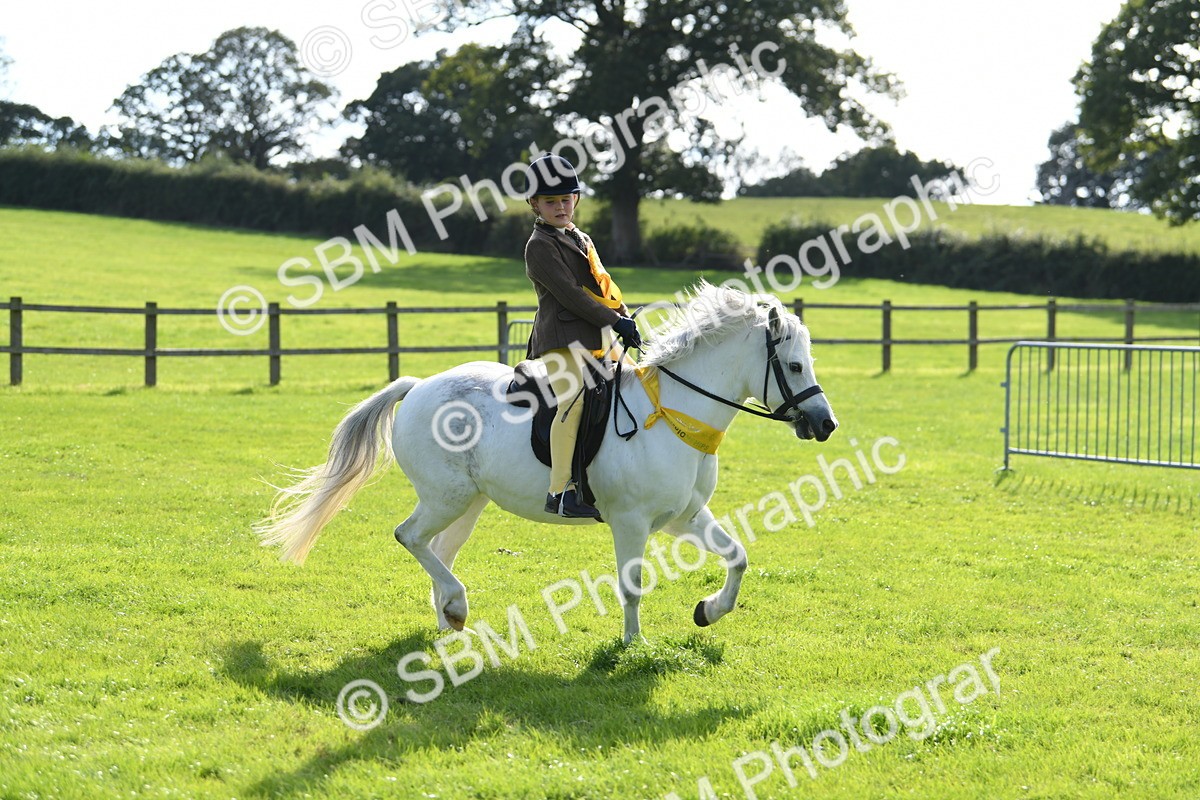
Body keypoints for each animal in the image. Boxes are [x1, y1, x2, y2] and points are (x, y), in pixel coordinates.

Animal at [256, 282, 838, 643]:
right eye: (793, 365)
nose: (826, 424)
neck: (673, 413)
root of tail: (418, 385)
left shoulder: (682, 517)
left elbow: (738, 556)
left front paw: (708, 611)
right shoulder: (631, 522)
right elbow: (632, 584)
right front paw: (634, 645)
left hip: (467, 502)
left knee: (436, 547)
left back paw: (449, 618)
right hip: (446, 496)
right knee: (409, 536)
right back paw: (456, 606)